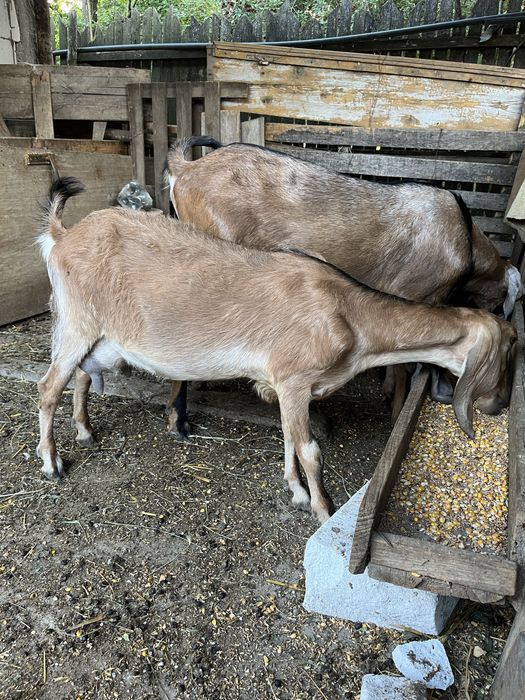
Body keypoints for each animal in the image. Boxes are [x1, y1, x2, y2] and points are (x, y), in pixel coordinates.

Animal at [37, 177, 516, 523]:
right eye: (512, 350)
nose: (500, 404)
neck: (348, 313)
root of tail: (63, 235)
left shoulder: (286, 388)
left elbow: (288, 438)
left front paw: (298, 493)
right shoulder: (294, 380)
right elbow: (311, 451)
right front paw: (321, 508)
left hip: (102, 339)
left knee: (81, 374)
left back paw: (85, 431)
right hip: (77, 323)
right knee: (48, 387)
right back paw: (52, 462)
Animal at [165, 136, 522, 431]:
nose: (500, 403)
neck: (466, 242)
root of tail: (186, 168)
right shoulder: (411, 294)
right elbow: (405, 362)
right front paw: (395, 412)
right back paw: (179, 420)